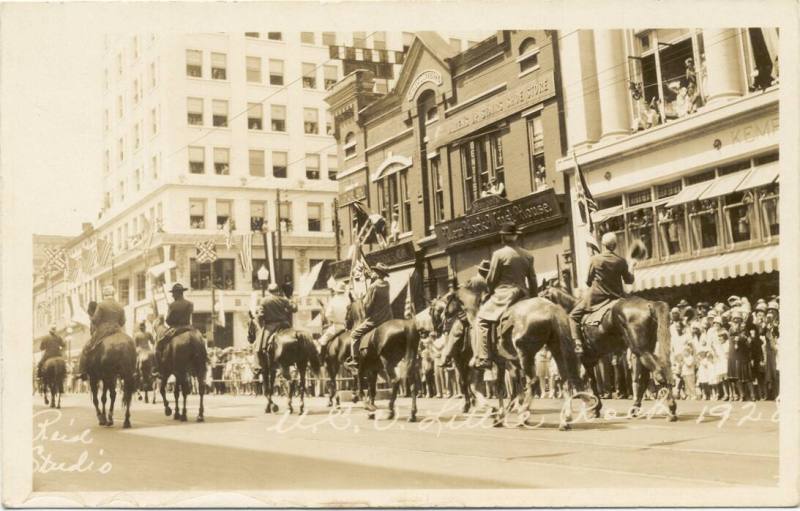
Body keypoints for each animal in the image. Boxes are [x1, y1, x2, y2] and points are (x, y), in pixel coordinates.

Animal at [346, 294, 422, 422]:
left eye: (347, 308)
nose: (345, 325)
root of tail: (407, 326)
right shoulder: (374, 370)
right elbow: (372, 389)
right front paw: (370, 410)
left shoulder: (364, 367)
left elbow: (361, 381)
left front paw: (366, 405)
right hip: (410, 361)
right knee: (412, 385)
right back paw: (412, 414)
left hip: (388, 362)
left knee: (395, 381)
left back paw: (390, 411)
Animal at [536, 284, 676, 420]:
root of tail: (649, 304)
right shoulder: (591, 360)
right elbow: (591, 382)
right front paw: (595, 407)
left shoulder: (583, 360)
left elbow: (585, 383)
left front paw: (593, 407)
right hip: (645, 350)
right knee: (647, 377)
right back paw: (637, 409)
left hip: (640, 350)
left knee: (658, 373)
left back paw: (670, 407)